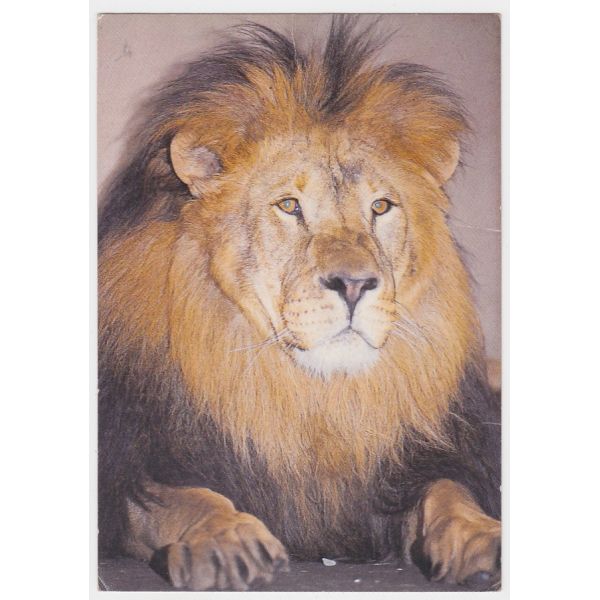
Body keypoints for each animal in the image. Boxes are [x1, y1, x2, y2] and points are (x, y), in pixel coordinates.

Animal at [98, 17, 501, 591]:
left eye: (381, 206)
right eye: (289, 205)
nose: (355, 284)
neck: (310, 400)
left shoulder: (418, 467)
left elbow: (450, 493)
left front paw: (484, 536)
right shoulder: (131, 466)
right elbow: (185, 498)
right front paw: (228, 539)